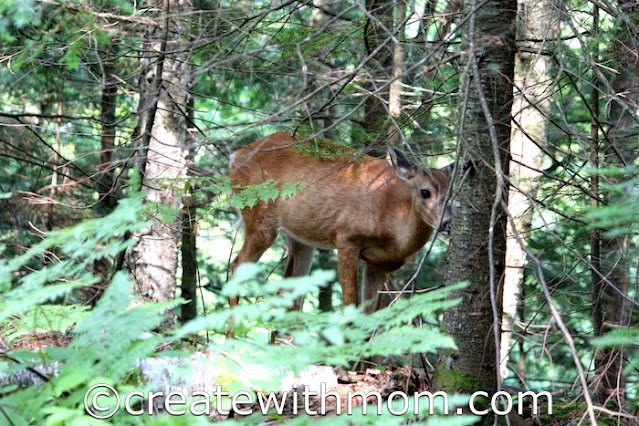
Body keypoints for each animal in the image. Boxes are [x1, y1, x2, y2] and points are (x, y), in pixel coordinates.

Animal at [228, 131, 452, 312]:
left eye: (453, 191)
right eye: (425, 192)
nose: (447, 223)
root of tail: (235, 157)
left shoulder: (380, 265)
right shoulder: (346, 238)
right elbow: (349, 306)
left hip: (301, 238)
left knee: (290, 292)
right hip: (259, 219)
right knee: (237, 264)